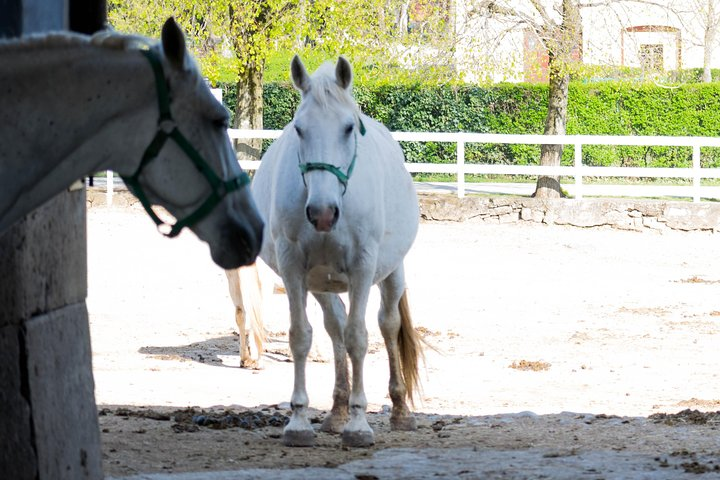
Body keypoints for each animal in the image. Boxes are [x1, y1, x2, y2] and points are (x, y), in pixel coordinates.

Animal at [231, 55, 422, 446]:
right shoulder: (293, 268)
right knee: (335, 326)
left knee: (387, 325)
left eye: (349, 128)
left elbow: (359, 337)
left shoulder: (363, 267)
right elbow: (301, 337)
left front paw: (359, 424)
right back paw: (336, 411)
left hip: (392, 272)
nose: (322, 213)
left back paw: (399, 410)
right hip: (320, 283)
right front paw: (300, 421)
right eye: (299, 129)